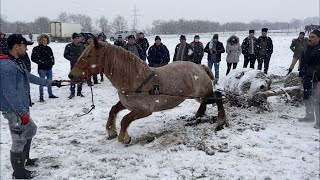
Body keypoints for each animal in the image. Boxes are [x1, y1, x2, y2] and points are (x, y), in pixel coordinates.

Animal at [68, 38, 226, 144]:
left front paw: (124, 138)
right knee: (205, 102)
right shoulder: (127, 104)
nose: (71, 75)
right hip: (197, 96)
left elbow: (125, 120)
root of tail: (200, 67)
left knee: (217, 96)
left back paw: (220, 122)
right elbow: (113, 110)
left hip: (202, 93)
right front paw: (111, 131)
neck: (134, 80)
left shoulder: (144, 110)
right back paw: (199, 115)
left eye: (88, 55)